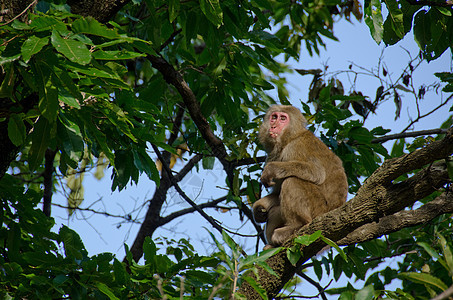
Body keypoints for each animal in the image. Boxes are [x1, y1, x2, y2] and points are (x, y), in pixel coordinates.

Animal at [251, 105, 346, 248]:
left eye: (283, 118)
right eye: (274, 117)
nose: (273, 125)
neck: (289, 138)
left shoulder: (295, 147)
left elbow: (316, 172)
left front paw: (272, 169)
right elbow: (277, 193)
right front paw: (258, 208)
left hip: (318, 210)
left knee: (292, 180)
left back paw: (297, 225)